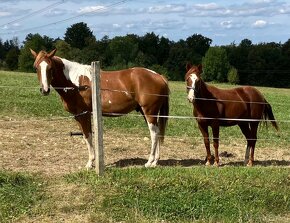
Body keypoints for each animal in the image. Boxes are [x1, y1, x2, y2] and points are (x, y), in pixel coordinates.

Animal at [29, 48, 169, 169]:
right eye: (36, 67)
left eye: (50, 68)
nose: (45, 90)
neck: (75, 83)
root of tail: (159, 76)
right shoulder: (78, 116)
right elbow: (86, 136)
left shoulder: (84, 114)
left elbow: (88, 136)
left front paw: (90, 163)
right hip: (147, 113)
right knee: (157, 133)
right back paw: (155, 162)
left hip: (149, 112)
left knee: (154, 134)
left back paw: (149, 162)